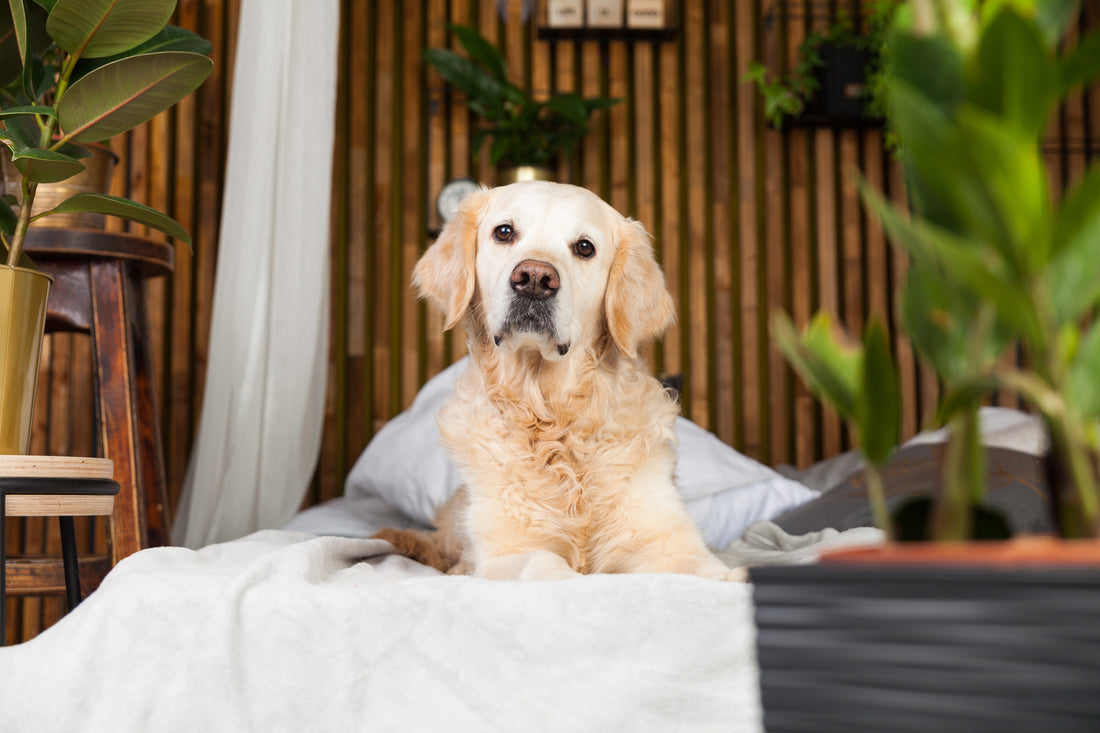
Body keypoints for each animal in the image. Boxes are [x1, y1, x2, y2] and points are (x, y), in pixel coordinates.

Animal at [374, 182, 743, 581]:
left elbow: (715, 574)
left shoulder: (670, 543)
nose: (535, 278)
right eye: (504, 232)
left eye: (584, 247)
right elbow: (550, 570)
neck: (553, 416)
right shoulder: (508, 551)